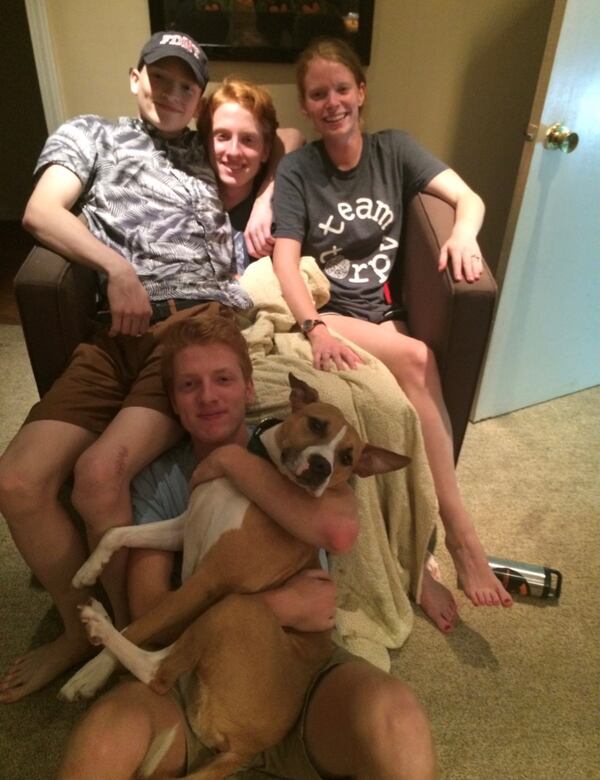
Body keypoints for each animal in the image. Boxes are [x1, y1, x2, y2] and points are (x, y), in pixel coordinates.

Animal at [59, 374, 408, 776]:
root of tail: (246, 750)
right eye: (317, 423)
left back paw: (99, 623)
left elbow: (141, 624)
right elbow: (118, 534)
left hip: (236, 609)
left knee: (159, 671)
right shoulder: (183, 528)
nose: (322, 466)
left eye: (348, 458)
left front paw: (91, 672)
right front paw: (87, 570)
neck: (261, 474)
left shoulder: (207, 580)